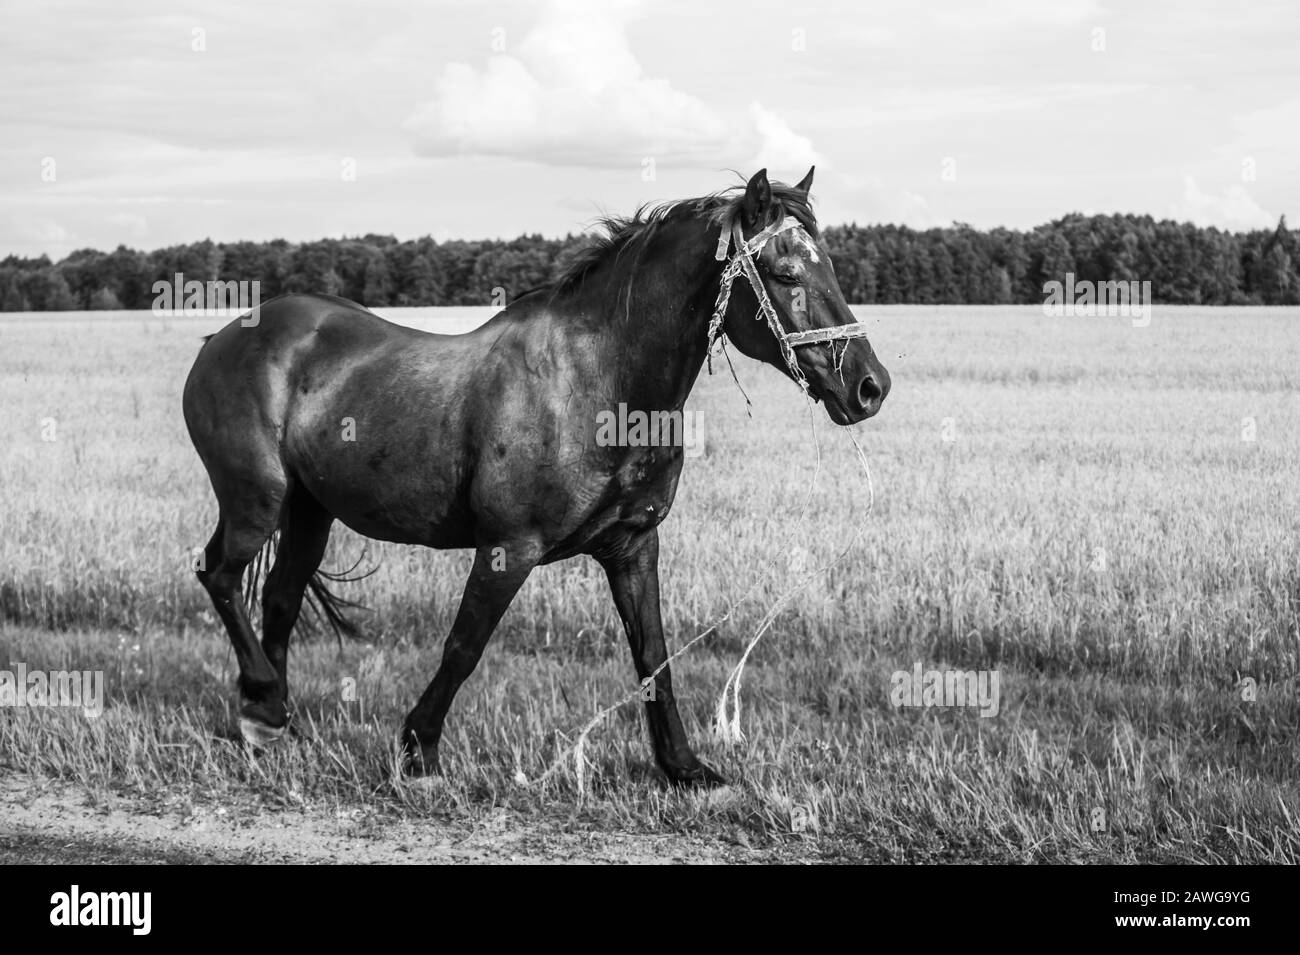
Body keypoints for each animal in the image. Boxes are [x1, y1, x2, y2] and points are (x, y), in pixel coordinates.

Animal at [183, 167, 889, 789]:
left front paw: (685, 769)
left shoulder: (633, 547)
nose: (869, 386)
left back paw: (272, 723)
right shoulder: (508, 548)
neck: (597, 384)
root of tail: (224, 336)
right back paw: (264, 706)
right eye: (784, 271)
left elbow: (654, 656)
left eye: (828, 265)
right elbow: (464, 646)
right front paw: (418, 752)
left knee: (279, 596)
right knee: (218, 574)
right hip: (256, 500)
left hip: (310, 511)